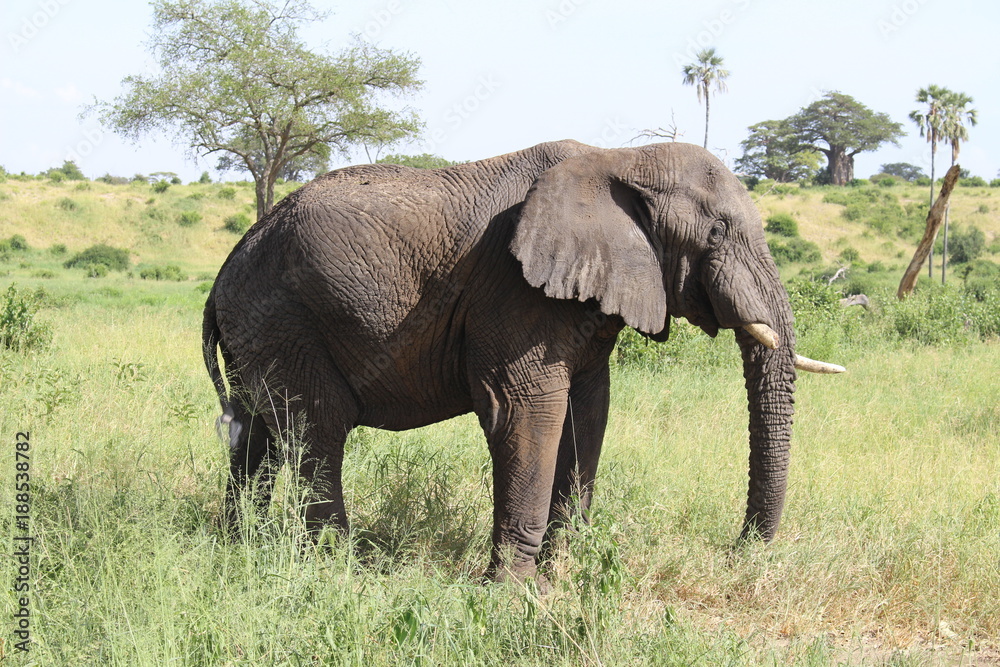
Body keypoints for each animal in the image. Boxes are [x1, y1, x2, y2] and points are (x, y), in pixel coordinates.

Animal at [205, 141, 844, 584]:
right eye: (717, 232)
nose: (742, 550)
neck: (617, 159)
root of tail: (223, 273)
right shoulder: (514, 292)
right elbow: (526, 411)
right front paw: (513, 592)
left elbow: (589, 411)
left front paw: (569, 567)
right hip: (285, 322)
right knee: (318, 429)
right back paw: (344, 569)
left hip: (259, 334)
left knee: (260, 436)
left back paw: (241, 547)